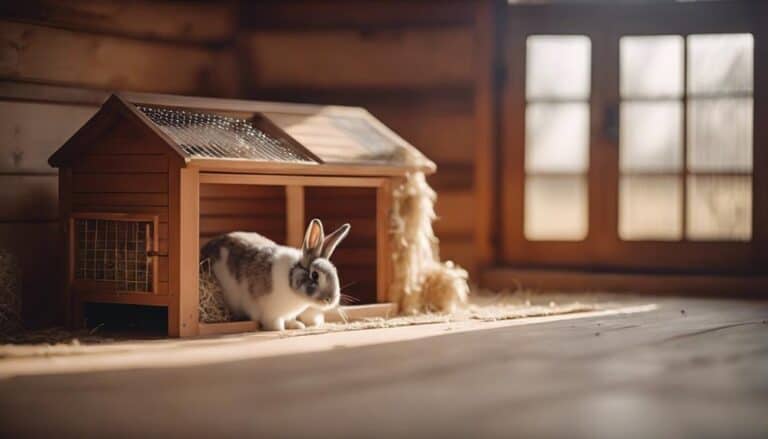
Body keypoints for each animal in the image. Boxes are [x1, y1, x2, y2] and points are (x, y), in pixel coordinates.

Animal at [201, 218, 350, 331]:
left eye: (335, 272)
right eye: (315, 275)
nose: (330, 299)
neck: (290, 277)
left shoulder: (288, 314)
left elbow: (290, 320)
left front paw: (297, 325)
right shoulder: (270, 313)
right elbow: (274, 323)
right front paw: (280, 329)